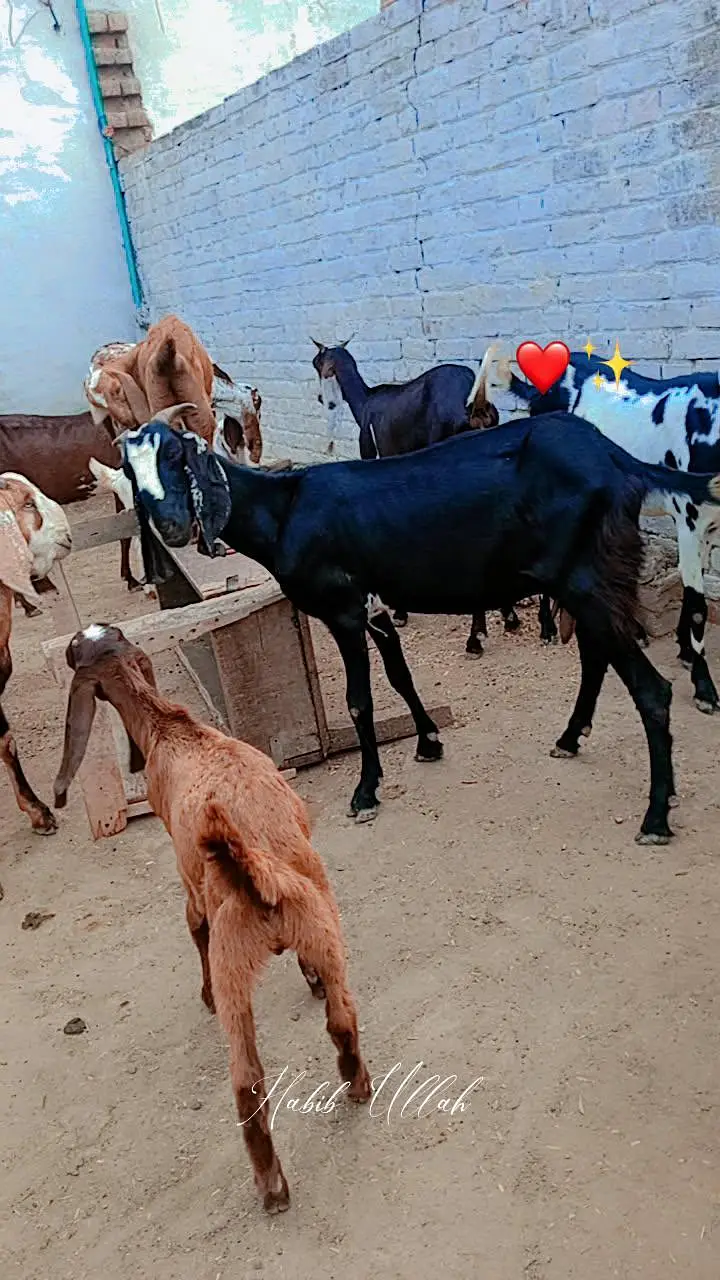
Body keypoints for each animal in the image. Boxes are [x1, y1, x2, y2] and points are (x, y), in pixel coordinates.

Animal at [53, 624, 371, 1213]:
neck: (173, 730)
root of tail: (255, 872)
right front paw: (308, 978)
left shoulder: (188, 880)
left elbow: (191, 927)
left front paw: (199, 995)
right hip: (323, 924)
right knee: (341, 1018)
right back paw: (357, 1085)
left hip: (233, 972)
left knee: (247, 1080)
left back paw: (271, 1187)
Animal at [123, 408, 720, 844]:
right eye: (131, 472)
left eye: (174, 454)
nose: (172, 525)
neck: (286, 510)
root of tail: (614, 457)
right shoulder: (377, 606)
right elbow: (400, 676)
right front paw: (429, 740)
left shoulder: (343, 609)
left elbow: (360, 702)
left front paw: (366, 793)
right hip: (583, 580)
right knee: (598, 656)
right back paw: (571, 738)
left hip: (585, 577)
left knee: (651, 689)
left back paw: (656, 816)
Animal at [311, 339, 518, 654]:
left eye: (318, 363)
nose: (322, 399)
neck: (366, 403)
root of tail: (475, 406)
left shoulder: (374, 456)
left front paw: (399, 611)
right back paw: (507, 617)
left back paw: (474, 638)